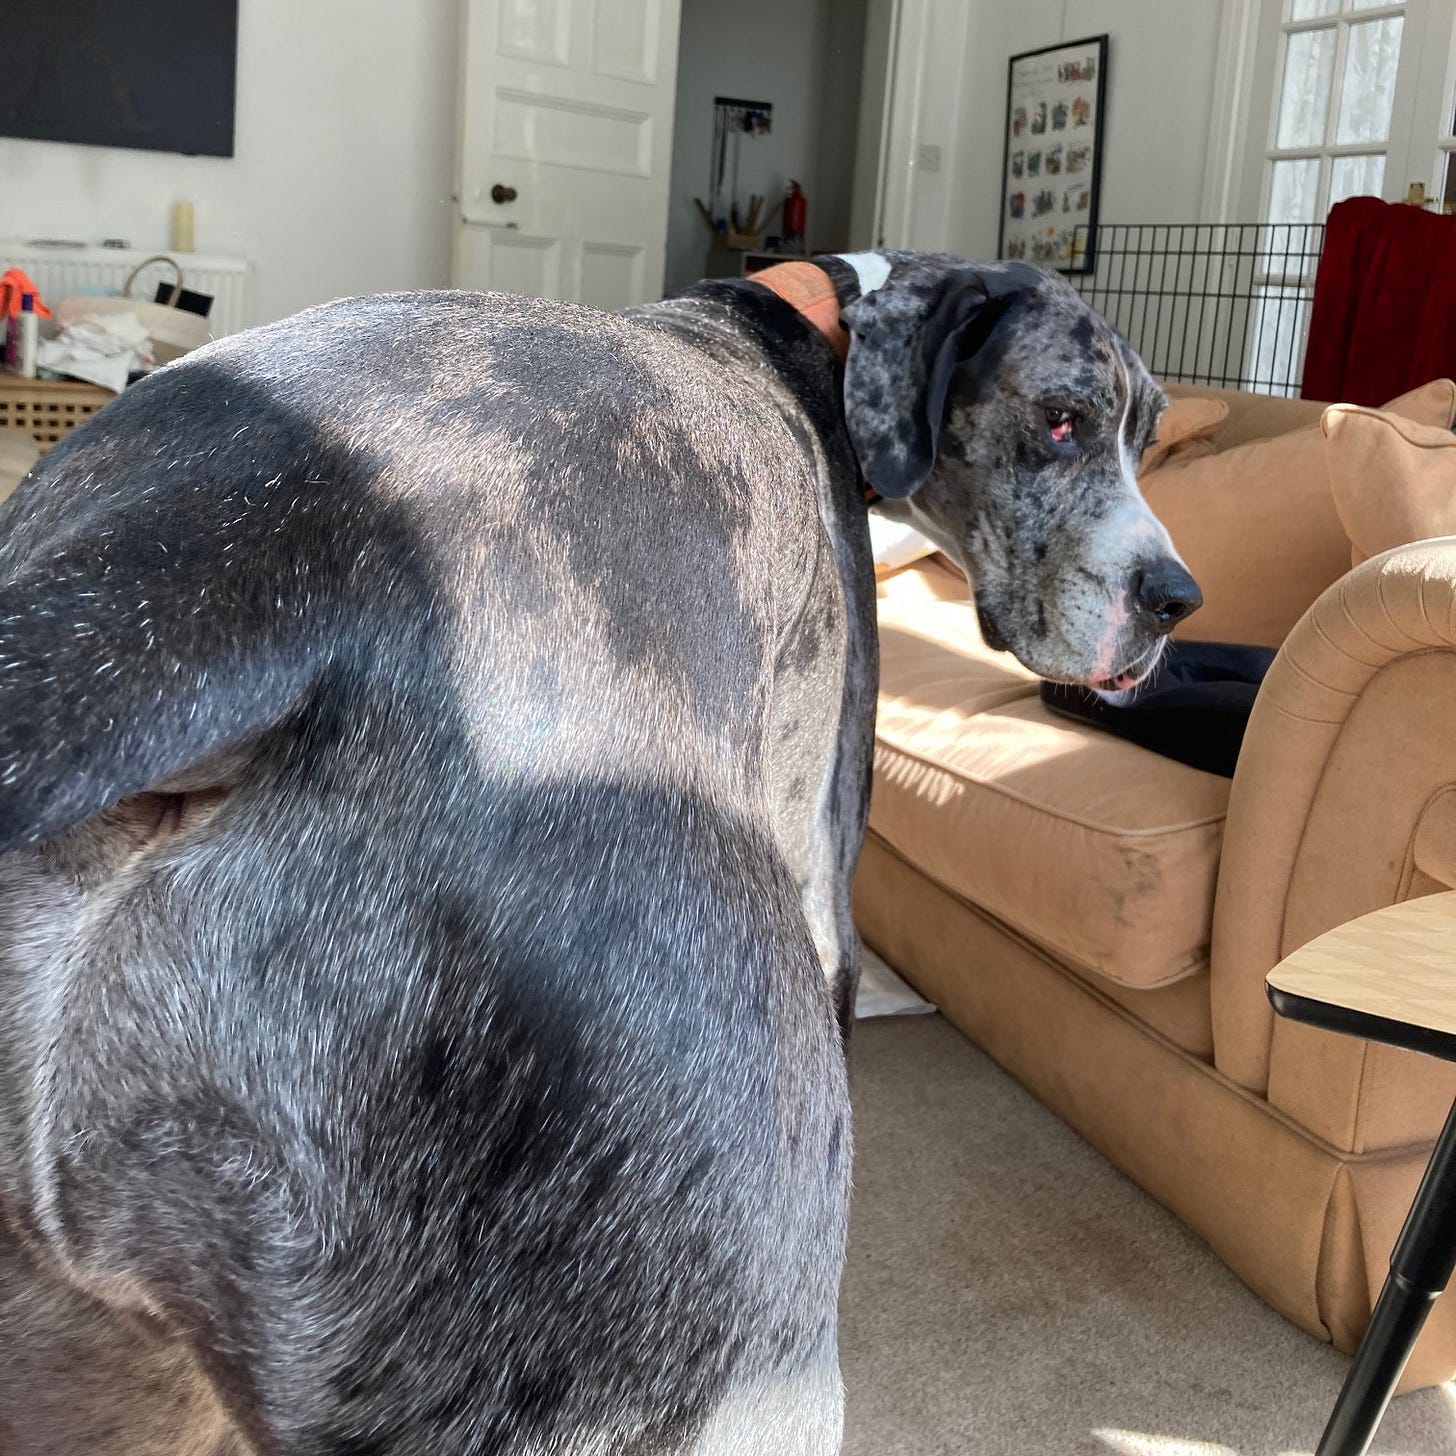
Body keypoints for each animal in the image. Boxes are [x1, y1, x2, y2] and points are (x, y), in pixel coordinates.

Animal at [0, 250, 1193, 1456]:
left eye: (1150, 437)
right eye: (1061, 420)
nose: (1178, 598)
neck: (810, 334)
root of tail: (238, 573)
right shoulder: (829, 887)